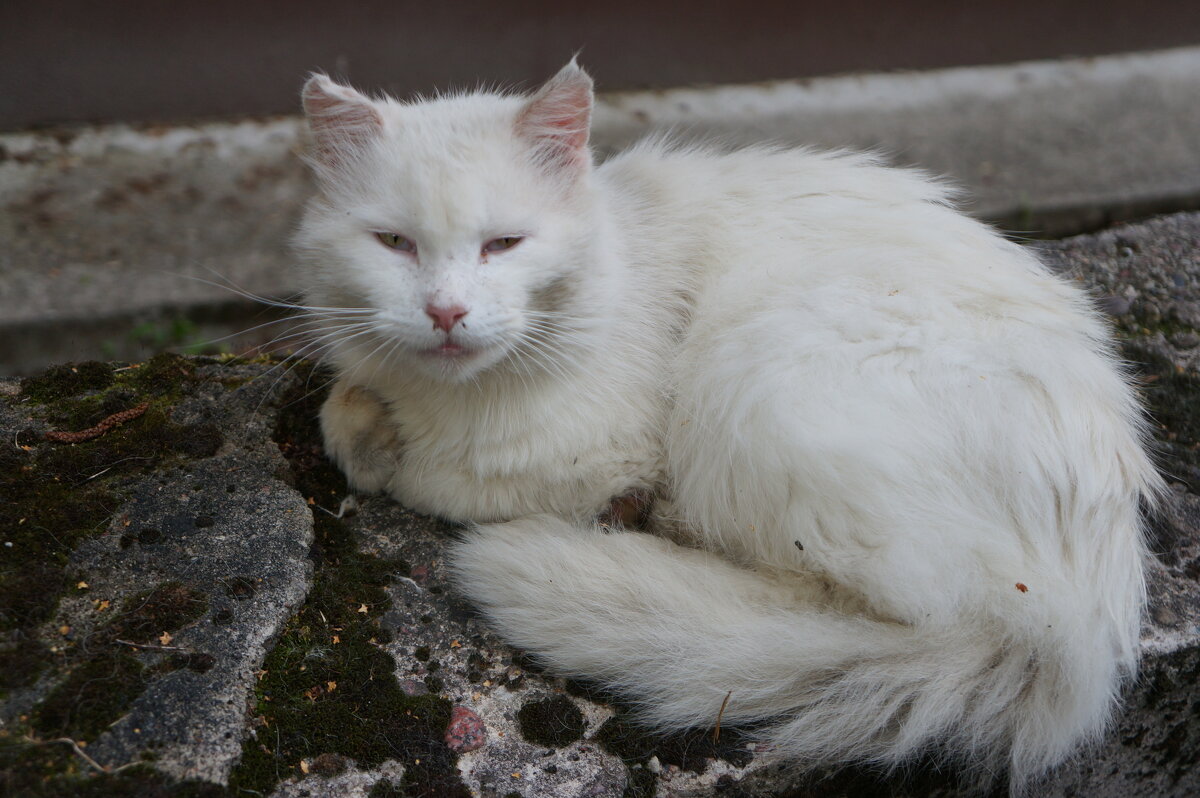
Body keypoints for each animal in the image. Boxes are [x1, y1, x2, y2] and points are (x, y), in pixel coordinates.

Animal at [297, 60, 1161, 782]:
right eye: (394, 243)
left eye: (503, 243)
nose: (445, 313)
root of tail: (1073, 624)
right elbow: (345, 404)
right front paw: (367, 421)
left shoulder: (595, 454)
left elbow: (432, 475)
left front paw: (391, 452)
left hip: (762, 379)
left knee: (842, 608)